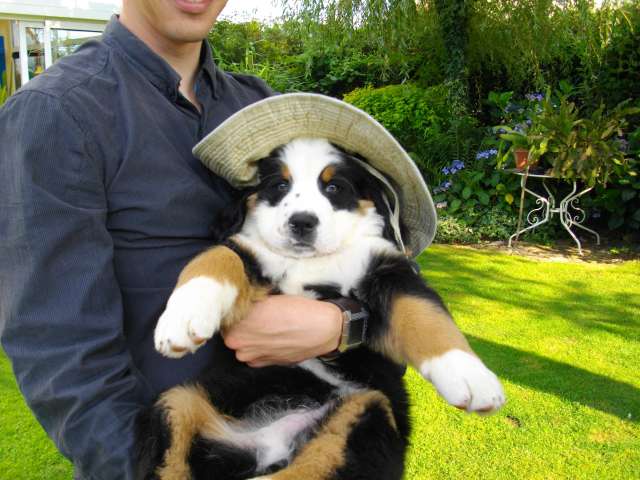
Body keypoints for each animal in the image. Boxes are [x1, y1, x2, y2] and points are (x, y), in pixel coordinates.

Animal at [136, 138, 506, 480]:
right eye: (280, 185)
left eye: (333, 187)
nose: (302, 222)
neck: (310, 262)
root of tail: (269, 444)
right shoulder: (252, 253)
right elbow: (217, 257)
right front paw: (182, 318)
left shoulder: (386, 269)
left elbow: (423, 314)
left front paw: (469, 376)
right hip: (179, 402)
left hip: (366, 411)